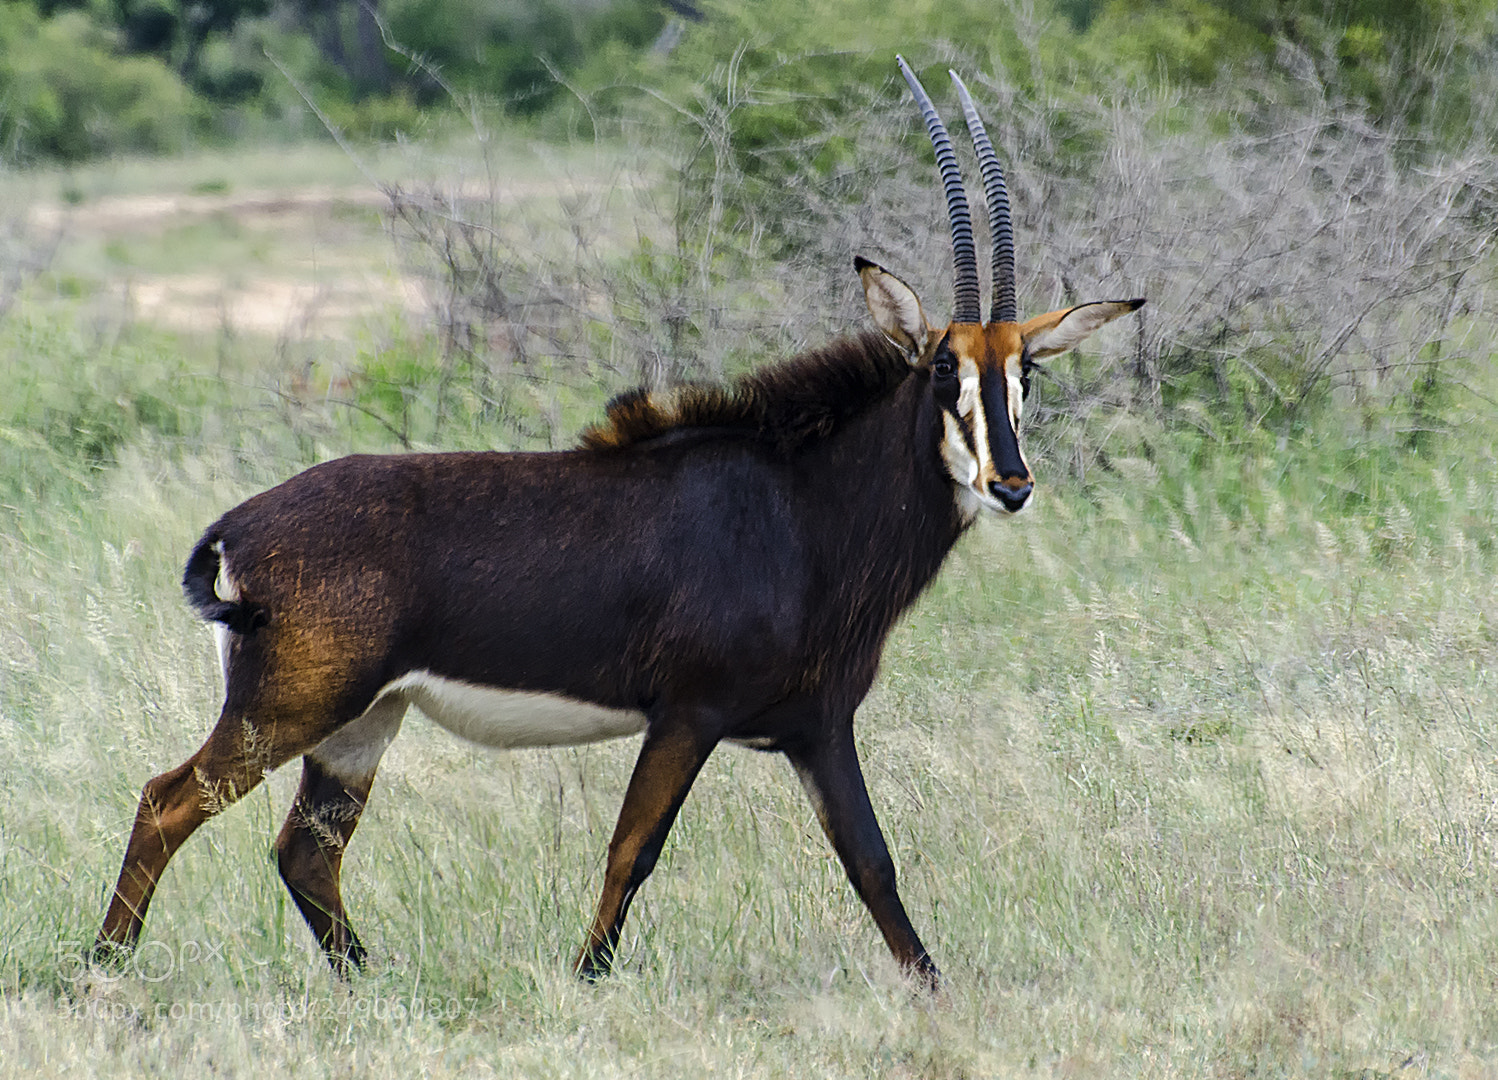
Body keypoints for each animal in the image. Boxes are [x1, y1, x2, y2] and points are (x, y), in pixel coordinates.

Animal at [94, 58, 1143, 991]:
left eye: (1025, 371)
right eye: (940, 369)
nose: (1011, 484)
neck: (802, 506)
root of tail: (240, 526)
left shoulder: (816, 725)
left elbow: (871, 860)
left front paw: (934, 988)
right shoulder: (689, 714)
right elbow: (633, 848)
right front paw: (586, 978)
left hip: (359, 725)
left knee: (306, 851)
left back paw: (374, 983)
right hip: (288, 709)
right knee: (167, 801)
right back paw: (100, 972)